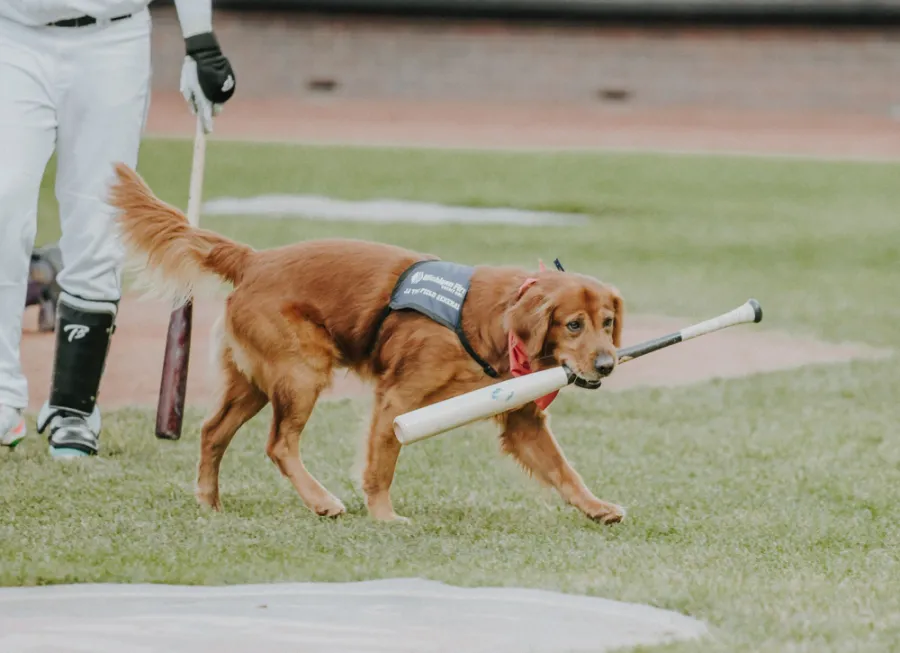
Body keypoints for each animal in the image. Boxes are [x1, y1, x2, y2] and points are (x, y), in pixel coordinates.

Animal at [107, 163, 624, 524]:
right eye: (573, 325)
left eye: (607, 321)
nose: (607, 364)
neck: (492, 322)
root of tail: (254, 259)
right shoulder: (396, 399)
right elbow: (382, 463)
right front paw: (383, 516)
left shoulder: (522, 418)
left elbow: (564, 470)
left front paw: (596, 506)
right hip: (302, 372)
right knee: (279, 444)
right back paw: (320, 501)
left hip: (254, 381)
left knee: (212, 432)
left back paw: (209, 502)